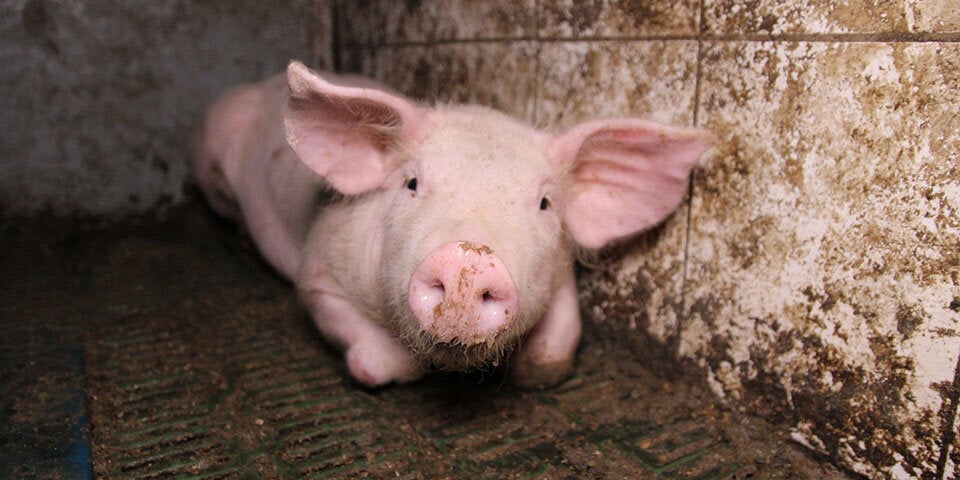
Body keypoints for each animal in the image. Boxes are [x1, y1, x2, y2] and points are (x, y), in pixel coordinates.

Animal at [193, 61, 712, 389]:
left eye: (545, 203)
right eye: (412, 182)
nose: (468, 259)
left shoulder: (560, 272)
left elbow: (556, 352)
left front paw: (530, 371)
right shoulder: (318, 275)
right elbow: (381, 361)